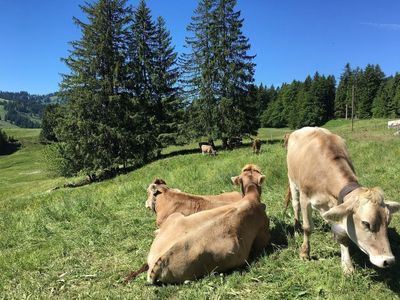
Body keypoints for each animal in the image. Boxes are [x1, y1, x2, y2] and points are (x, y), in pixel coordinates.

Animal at [288, 127, 400, 274]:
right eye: (366, 223)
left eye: (388, 221)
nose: (389, 261)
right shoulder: (305, 198)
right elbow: (307, 228)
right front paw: (304, 253)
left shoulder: (339, 204)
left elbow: (343, 235)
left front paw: (347, 265)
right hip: (292, 182)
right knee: (295, 206)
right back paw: (296, 230)